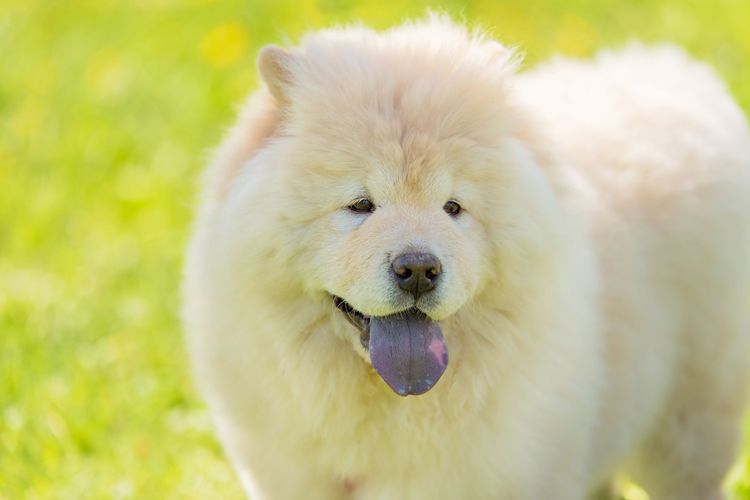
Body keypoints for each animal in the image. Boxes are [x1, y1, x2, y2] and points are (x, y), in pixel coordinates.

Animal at [184, 15, 750, 500]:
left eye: (453, 207)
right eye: (361, 205)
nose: (418, 269)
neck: (390, 403)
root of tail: (672, 71)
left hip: (689, 424)